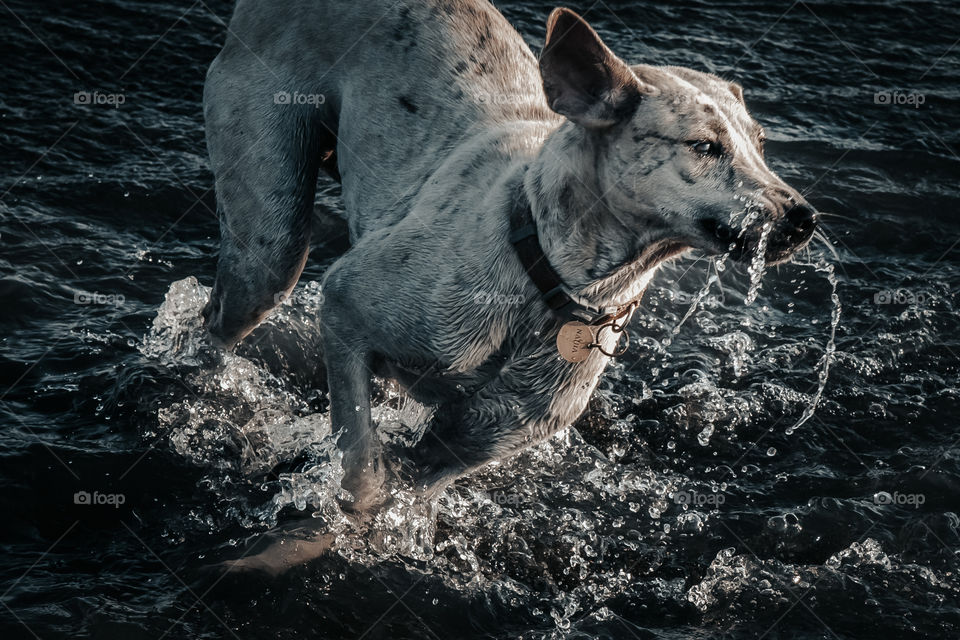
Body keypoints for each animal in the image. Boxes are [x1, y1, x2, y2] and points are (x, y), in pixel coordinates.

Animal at [202, 0, 816, 510]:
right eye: (704, 147)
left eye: (760, 144)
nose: (804, 218)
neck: (545, 277)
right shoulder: (345, 308)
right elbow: (360, 463)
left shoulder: (470, 443)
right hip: (270, 238)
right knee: (220, 318)